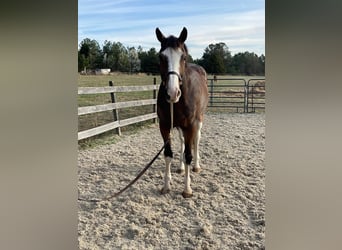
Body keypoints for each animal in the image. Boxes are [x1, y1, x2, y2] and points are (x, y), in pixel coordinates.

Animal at [156, 27, 208, 198]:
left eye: (183, 57)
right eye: (161, 57)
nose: (172, 93)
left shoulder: (190, 126)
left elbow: (188, 155)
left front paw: (187, 189)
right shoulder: (165, 126)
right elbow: (168, 153)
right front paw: (166, 186)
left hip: (198, 121)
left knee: (196, 140)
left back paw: (196, 166)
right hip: (179, 127)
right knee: (182, 142)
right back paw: (179, 168)